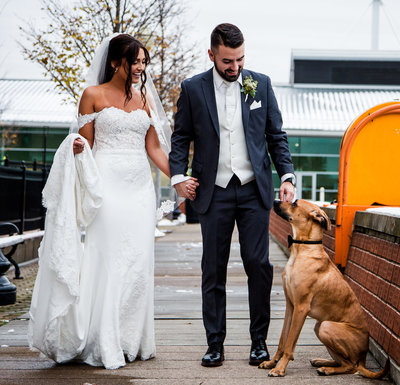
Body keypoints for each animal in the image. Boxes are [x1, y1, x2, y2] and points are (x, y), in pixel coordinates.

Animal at [260, 200, 390, 376]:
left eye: (294, 203)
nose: (275, 201)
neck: (302, 250)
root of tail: (364, 356)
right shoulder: (290, 305)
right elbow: (282, 340)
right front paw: (271, 362)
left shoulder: (301, 307)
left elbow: (289, 344)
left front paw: (280, 369)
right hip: (319, 327)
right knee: (344, 362)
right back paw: (322, 362)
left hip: (325, 326)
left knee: (351, 367)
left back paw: (327, 369)